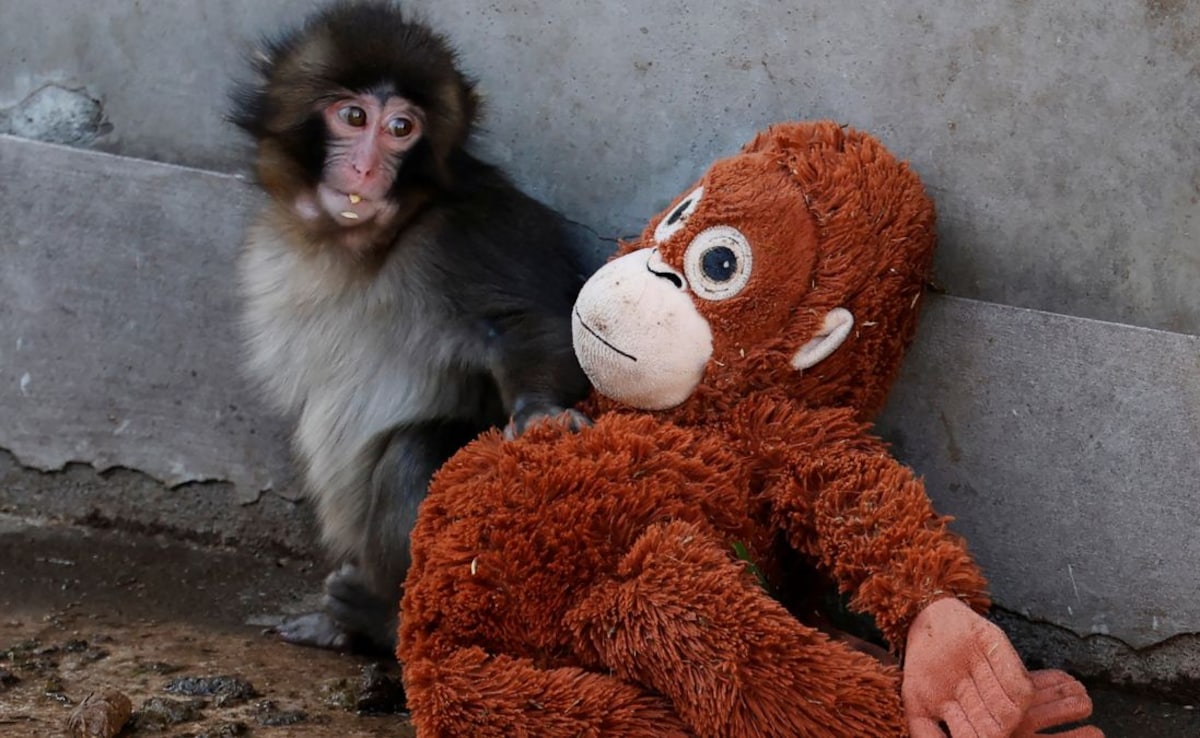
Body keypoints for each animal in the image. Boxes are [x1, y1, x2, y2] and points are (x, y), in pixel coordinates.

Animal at [228, 0, 593, 654]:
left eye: (402, 128)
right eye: (353, 116)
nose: (366, 167)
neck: (363, 245)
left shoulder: (468, 232)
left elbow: (529, 322)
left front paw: (540, 413)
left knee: (413, 454)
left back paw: (380, 620)